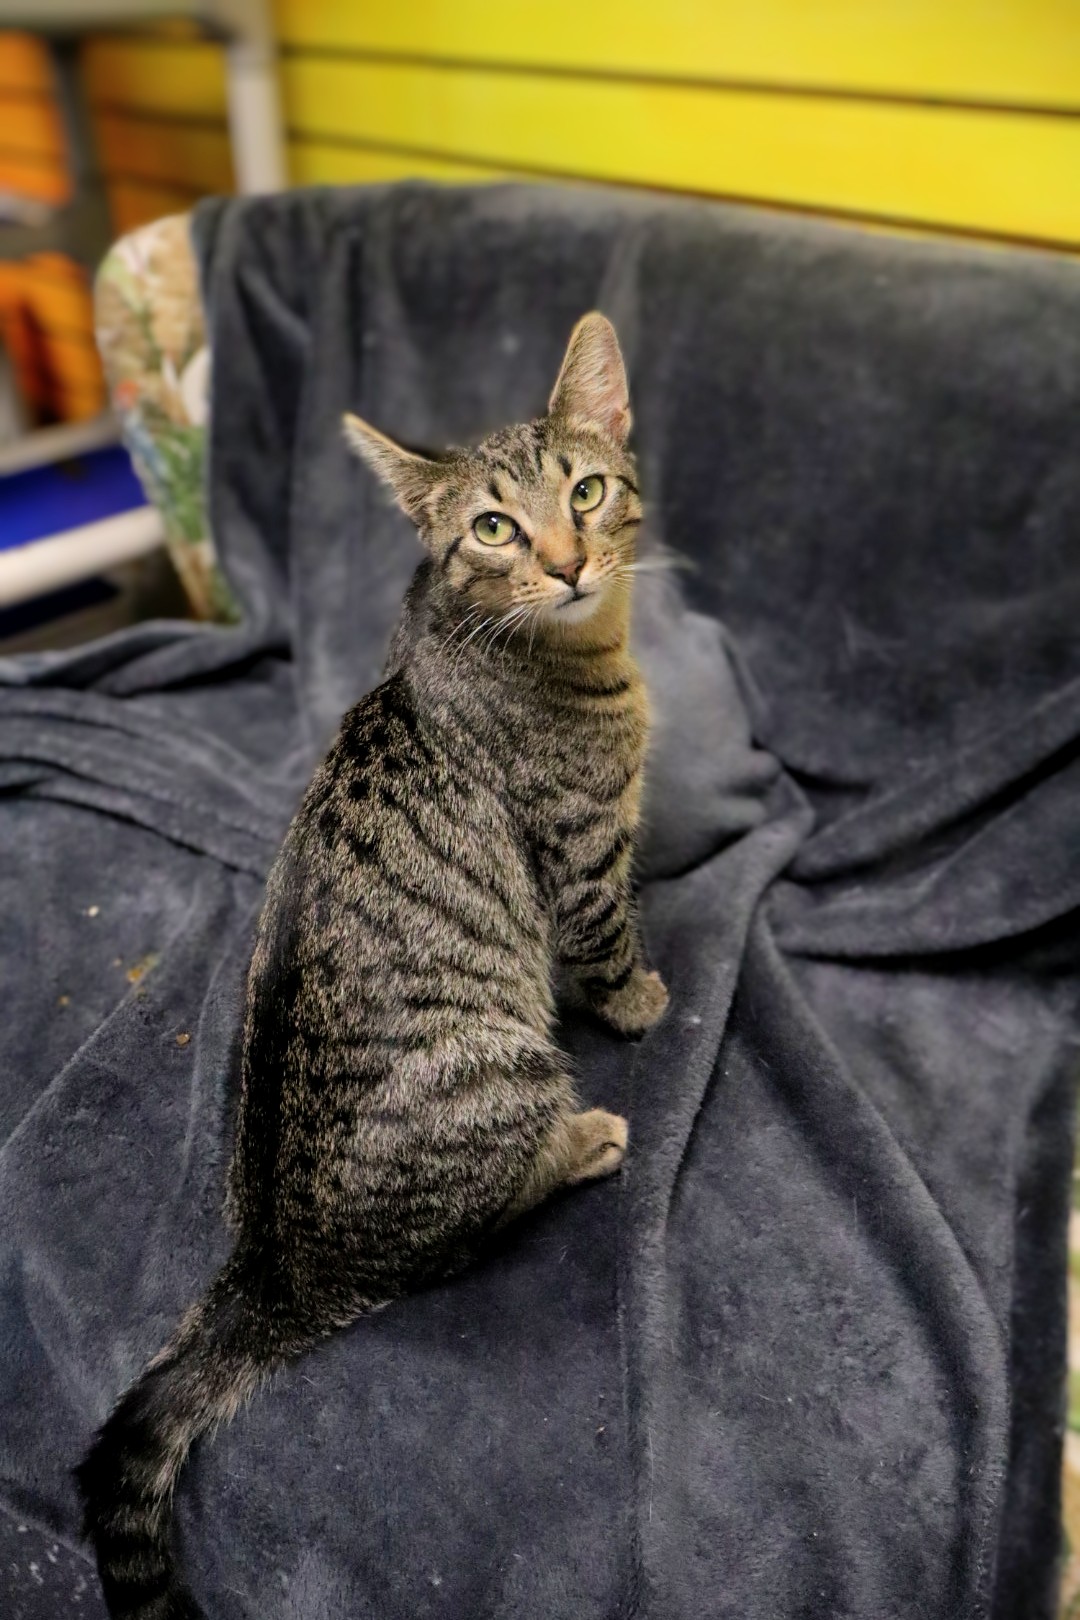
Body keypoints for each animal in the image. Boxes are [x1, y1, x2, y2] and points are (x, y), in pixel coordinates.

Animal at [77, 311, 668, 1620]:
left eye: (586, 491)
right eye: (493, 528)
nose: (568, 562)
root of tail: (278, 1268)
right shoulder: (582, 853)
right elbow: (608, 939)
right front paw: (643, 998)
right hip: (508, 1064)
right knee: (480, 1218)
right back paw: (586, 1138)